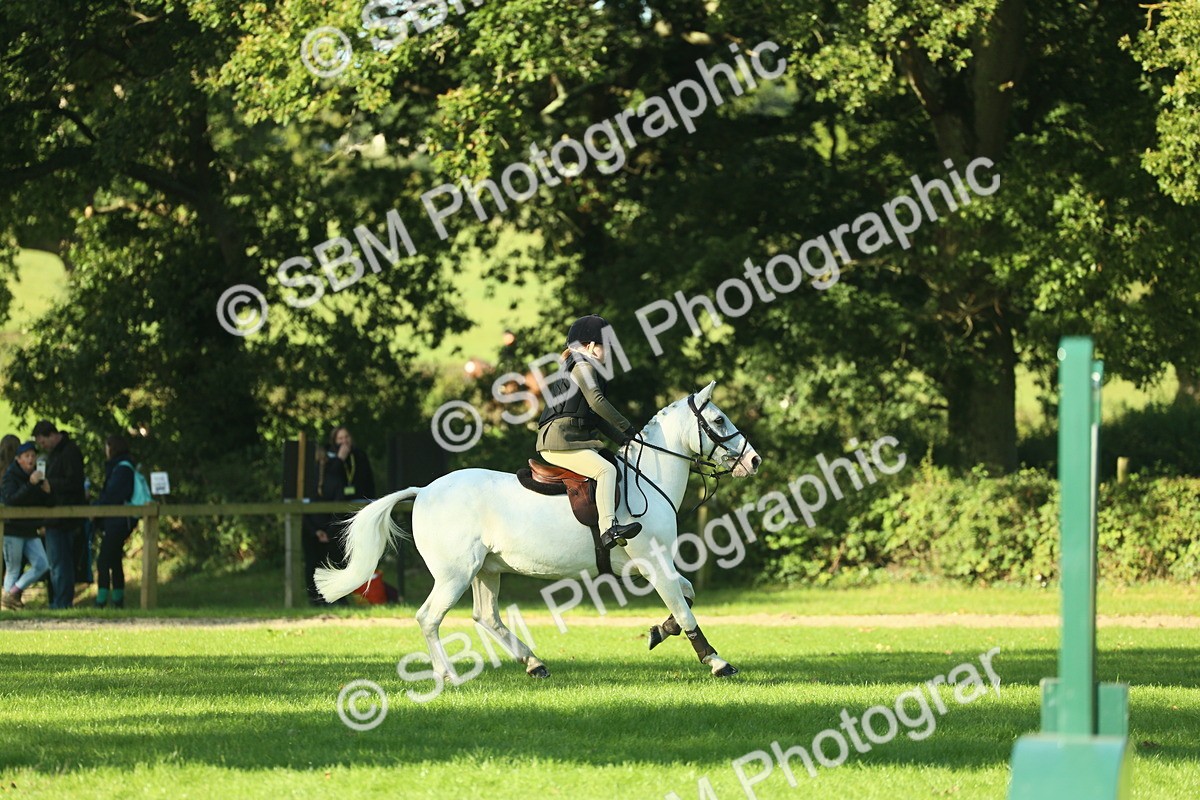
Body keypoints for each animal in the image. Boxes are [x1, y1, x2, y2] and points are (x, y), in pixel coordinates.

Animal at [315, 380, 761, 679]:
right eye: (718, 419)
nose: (754, 460)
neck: (647, 478)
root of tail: (424, 491)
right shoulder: (652, 562)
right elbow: (683, 607)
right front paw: (717, 661)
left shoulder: (655, 564)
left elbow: (685, 595)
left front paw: (657, 632)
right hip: (455, 574)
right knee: (429, 617)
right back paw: (448, 675)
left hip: (486, 571)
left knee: (485, 616)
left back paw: (533, 663)